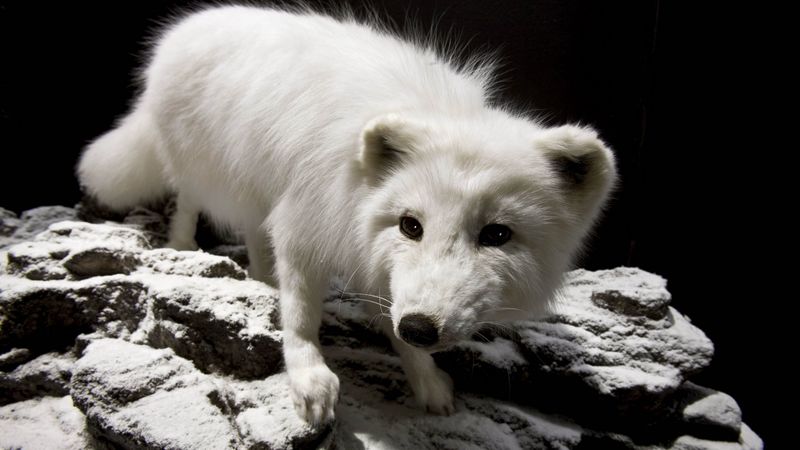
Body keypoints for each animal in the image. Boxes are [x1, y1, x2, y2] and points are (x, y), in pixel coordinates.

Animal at [77, 5, 617, 425]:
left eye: (497, 234)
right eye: (411, 225)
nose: (421, 328)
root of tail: (182, 29)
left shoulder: (372, 261)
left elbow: (391, 319)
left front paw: (426, 380)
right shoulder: (304, 220)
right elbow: (301, 315)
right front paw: (309, 378)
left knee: (253, 230)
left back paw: (262, 277)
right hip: (204, 165)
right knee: (188, 199)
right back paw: (184, 245)